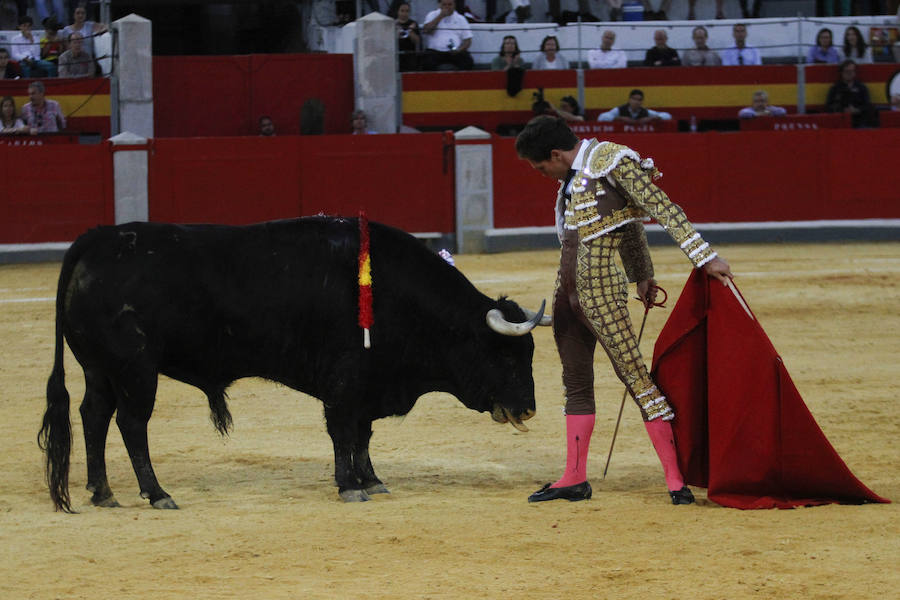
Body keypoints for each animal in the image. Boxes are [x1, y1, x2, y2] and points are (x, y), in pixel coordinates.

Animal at [38, 217, 544, 510]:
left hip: (99, 369)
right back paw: (157, 494)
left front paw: (372, 479)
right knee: (131, 423)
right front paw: (349, 486)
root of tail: (94, 240)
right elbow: (344, 433)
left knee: (93, 416)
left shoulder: (369, 385)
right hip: (135, 370)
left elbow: (363, 435)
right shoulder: (346, 382)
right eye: (504, 353)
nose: (529, 408)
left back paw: (103, 493)